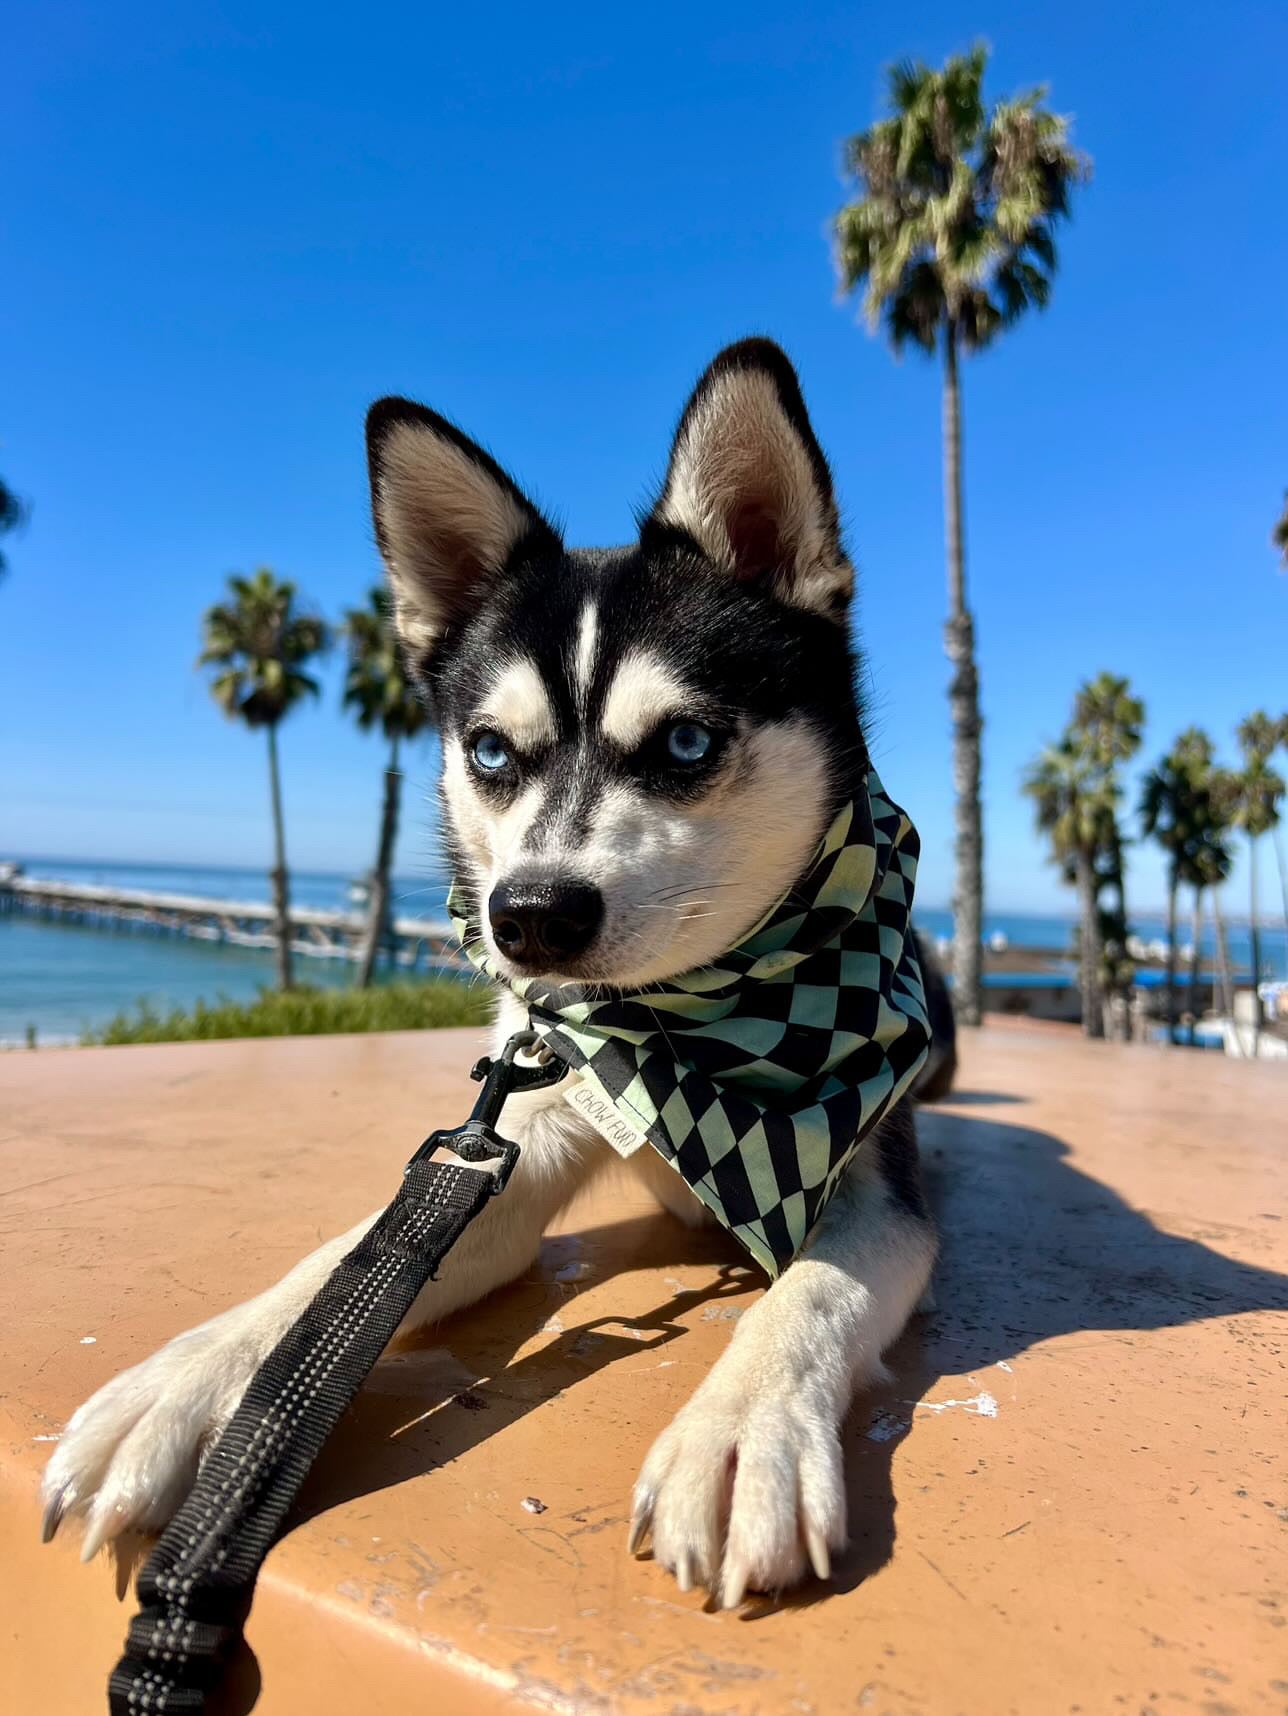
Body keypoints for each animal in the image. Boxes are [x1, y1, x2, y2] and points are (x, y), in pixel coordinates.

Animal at [42, 338, 946, 1606]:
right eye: (488, 752)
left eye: (684, 742)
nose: (526, 918)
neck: (689, 1033)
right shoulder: (523, 1141)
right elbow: (349, 1260)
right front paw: (191, 1379)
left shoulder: (877, 1175)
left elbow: (814, 1289)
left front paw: (743, 1430)